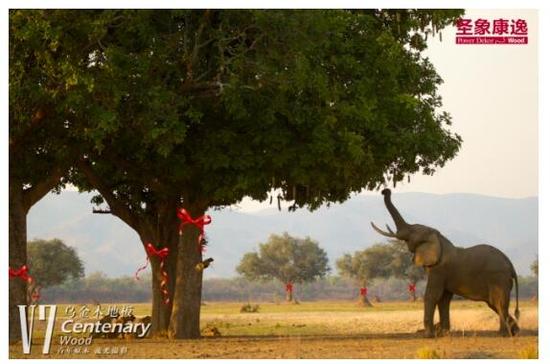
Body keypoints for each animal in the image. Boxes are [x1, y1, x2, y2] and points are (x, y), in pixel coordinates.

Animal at [370, 189, 520, 336]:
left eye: (413, 231)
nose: (385, 190)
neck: (438, 238)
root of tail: (511, 265)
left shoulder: (439, 270)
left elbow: (432, 295)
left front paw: (428, 335)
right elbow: (443, 299)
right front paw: (443, 332)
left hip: (498, 278)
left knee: (498, 303)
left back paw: (503, 334)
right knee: (494, 304)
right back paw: (514, 331)